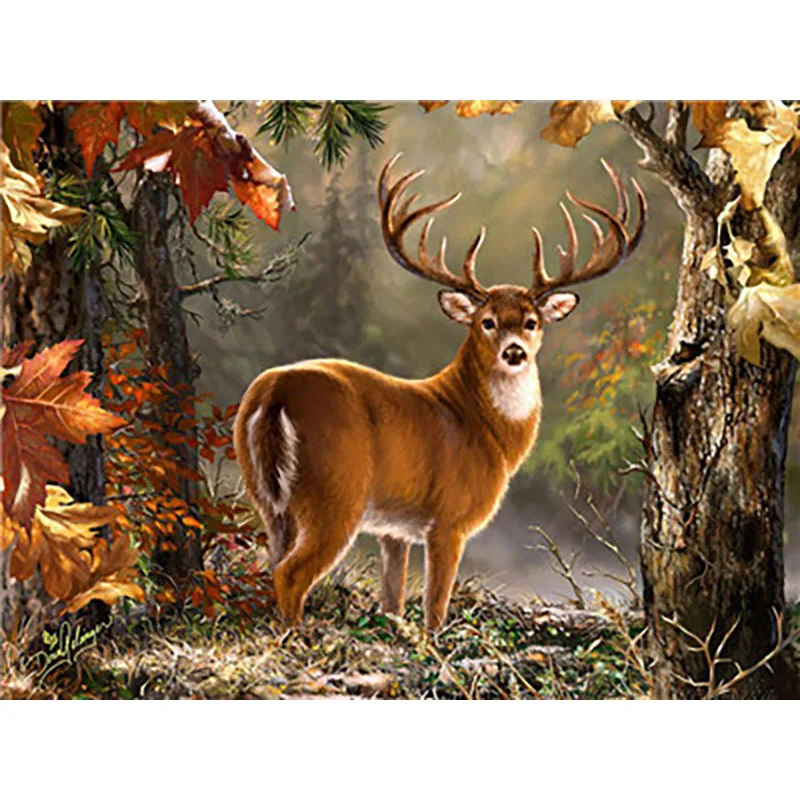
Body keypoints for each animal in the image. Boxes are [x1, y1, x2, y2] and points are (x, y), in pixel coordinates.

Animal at [233, 153, 646, 631]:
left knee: (271, 563)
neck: (487, 431)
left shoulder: (393, 529)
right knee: (291, 573)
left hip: (267, 497)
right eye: (486, 321)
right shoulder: (450, 519)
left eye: (531, 321)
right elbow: (435, 608)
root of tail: (275, 392)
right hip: (336, 492)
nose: (515, 352)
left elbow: (392, 601)